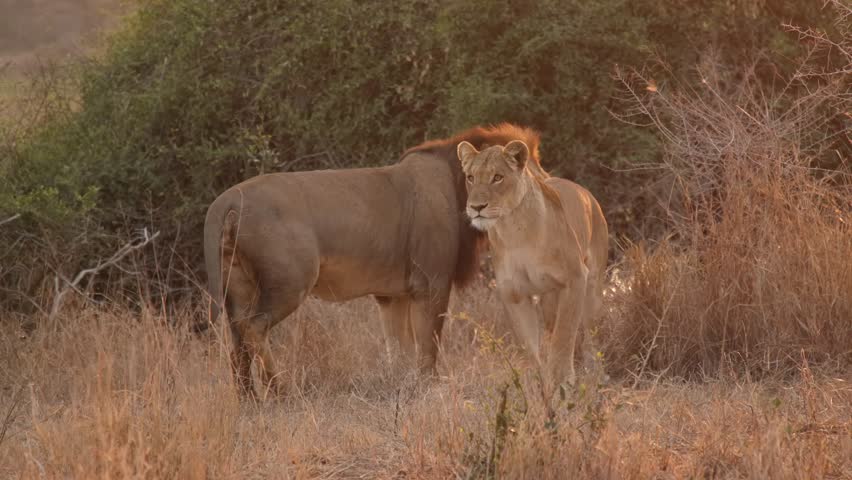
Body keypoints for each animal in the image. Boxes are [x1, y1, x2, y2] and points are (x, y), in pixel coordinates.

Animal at [203, 123, 536, 398]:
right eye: (485, 177)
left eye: (499, 177)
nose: (539, 194)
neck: (457, 185)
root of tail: (228, 200)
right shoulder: (432, 284)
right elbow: (428, 345)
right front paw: (429, 387)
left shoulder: (392, 296)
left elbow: (399, 347)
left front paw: (402, 385)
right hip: (289, 284)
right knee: (254, 329)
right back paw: (280, 391)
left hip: (238, 287)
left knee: (237, 341)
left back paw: (248, 399)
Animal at [460, 133, 604, 388]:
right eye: (470, 177)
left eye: (497, 177)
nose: (476, 207)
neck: (514, 230)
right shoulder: (514, 294)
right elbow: (528, 346)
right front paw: (535, 383)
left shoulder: (576, 278)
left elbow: (564, 335)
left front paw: (562, 379)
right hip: (549, 300)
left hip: (592, 288)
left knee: (589, 332)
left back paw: (594, 370)